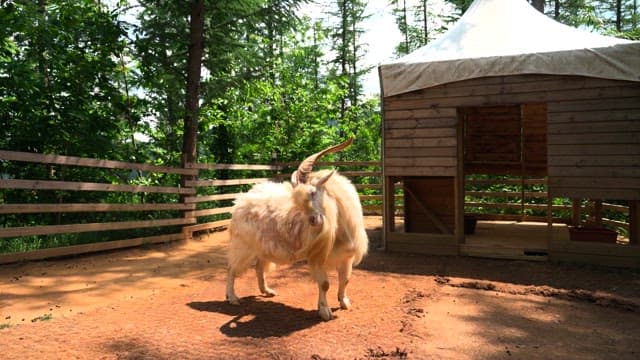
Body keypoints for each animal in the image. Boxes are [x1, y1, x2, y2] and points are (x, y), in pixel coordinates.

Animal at [225, 138, 368, 320]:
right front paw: (325, 312)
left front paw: (344, 302)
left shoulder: (346, 257)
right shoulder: (317, 256)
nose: (314, 220)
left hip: (262, 247)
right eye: (298, 201)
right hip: (243, 245)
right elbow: (325, 284)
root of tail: (240, 201)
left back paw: (267, 291)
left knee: (258, 267)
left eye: (313, 192)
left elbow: (346, 280)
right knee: (232, 268)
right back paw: (233, 298)